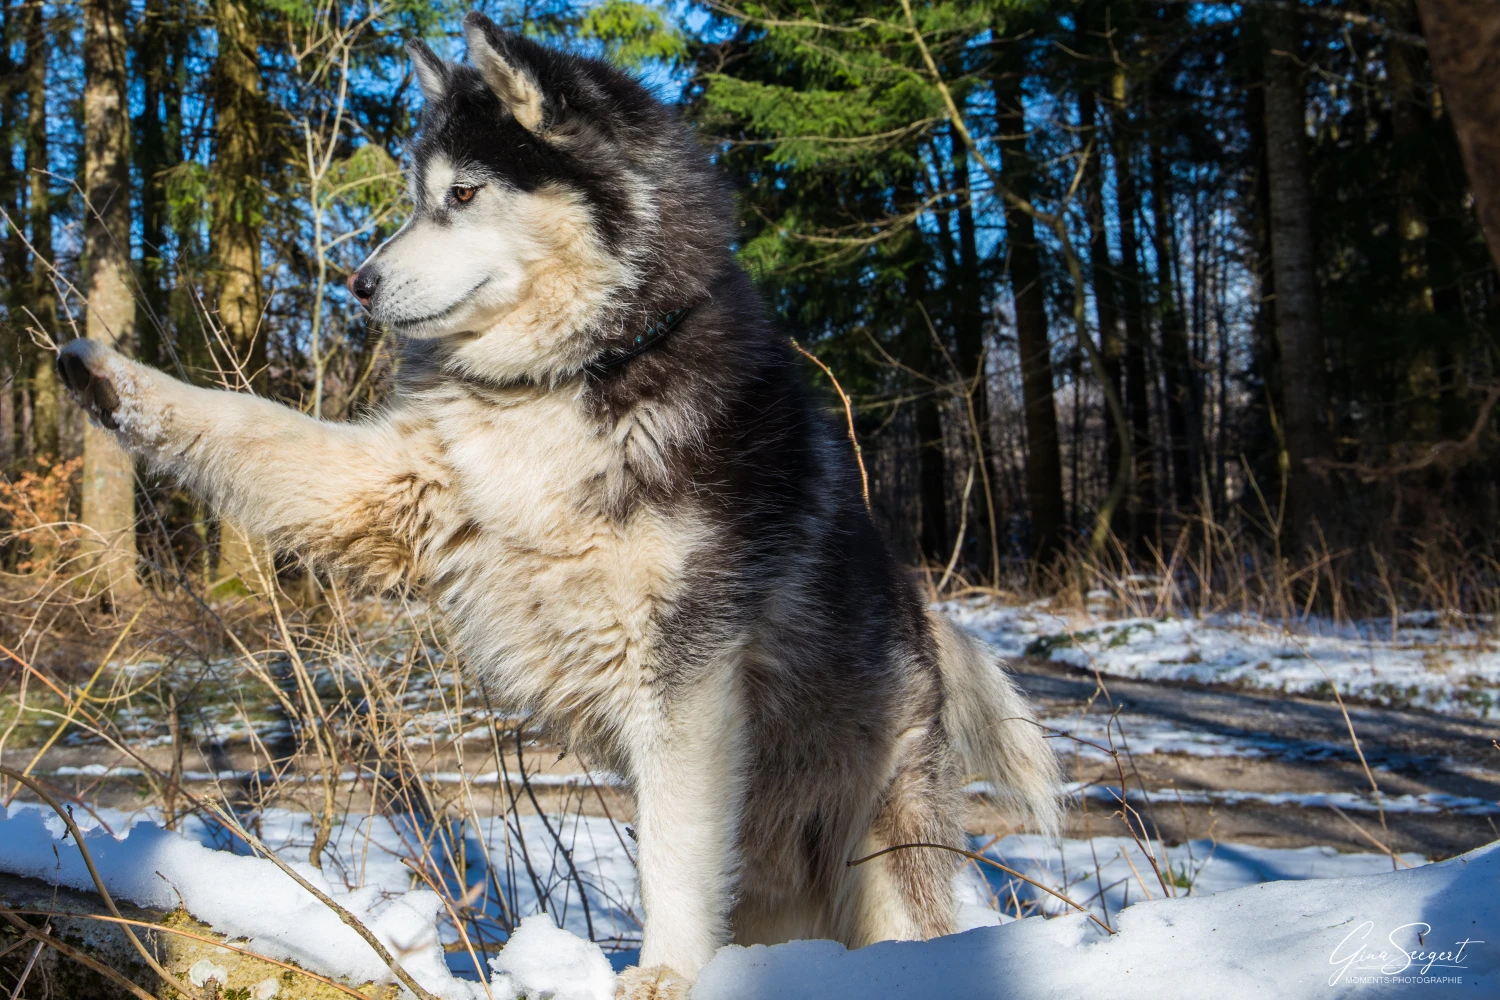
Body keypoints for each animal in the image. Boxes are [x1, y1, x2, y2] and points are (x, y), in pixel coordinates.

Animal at [61, 11, 1056, 995]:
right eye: (418, 197)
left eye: (463, 194)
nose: (359, 283)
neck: (571, 378)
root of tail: (928, 639)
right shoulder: (399, 484)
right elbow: (249, 425)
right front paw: (110, 381)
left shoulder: (688, 669)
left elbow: (673, 850)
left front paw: (665, 973)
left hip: (880, 846)